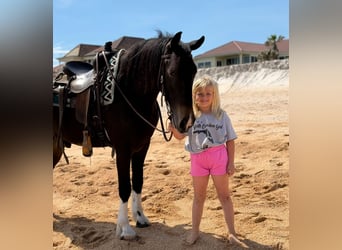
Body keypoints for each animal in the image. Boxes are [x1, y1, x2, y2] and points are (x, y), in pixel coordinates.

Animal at [52, 31, 204, 238]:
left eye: (194, 71)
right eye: (172, 72)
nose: (186, 122)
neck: (129, 92)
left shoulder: (142, 148)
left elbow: (137, 182)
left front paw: (140, 217)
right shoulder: (123, 149)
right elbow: (124, 187)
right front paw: (124, 227)